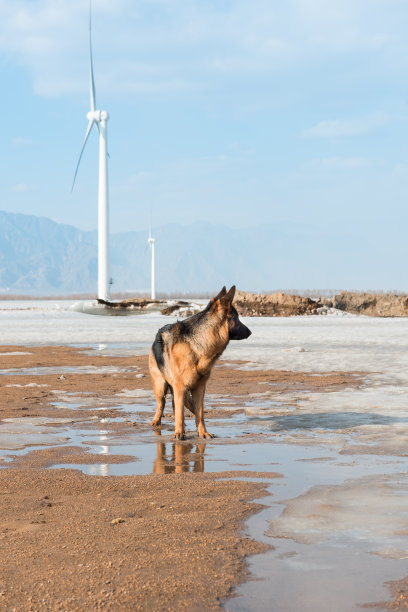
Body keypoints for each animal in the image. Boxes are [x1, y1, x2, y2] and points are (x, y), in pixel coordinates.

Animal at [150, 286, 252, 440]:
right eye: (236, 318)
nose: (250, 332)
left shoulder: (199, 388)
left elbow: (200, 413)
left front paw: (202, 432)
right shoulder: (180, 387)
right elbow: (180, 413)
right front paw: (179, 433)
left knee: (183, 405)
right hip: (161, 386)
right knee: (161, 404)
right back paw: (157, 421)